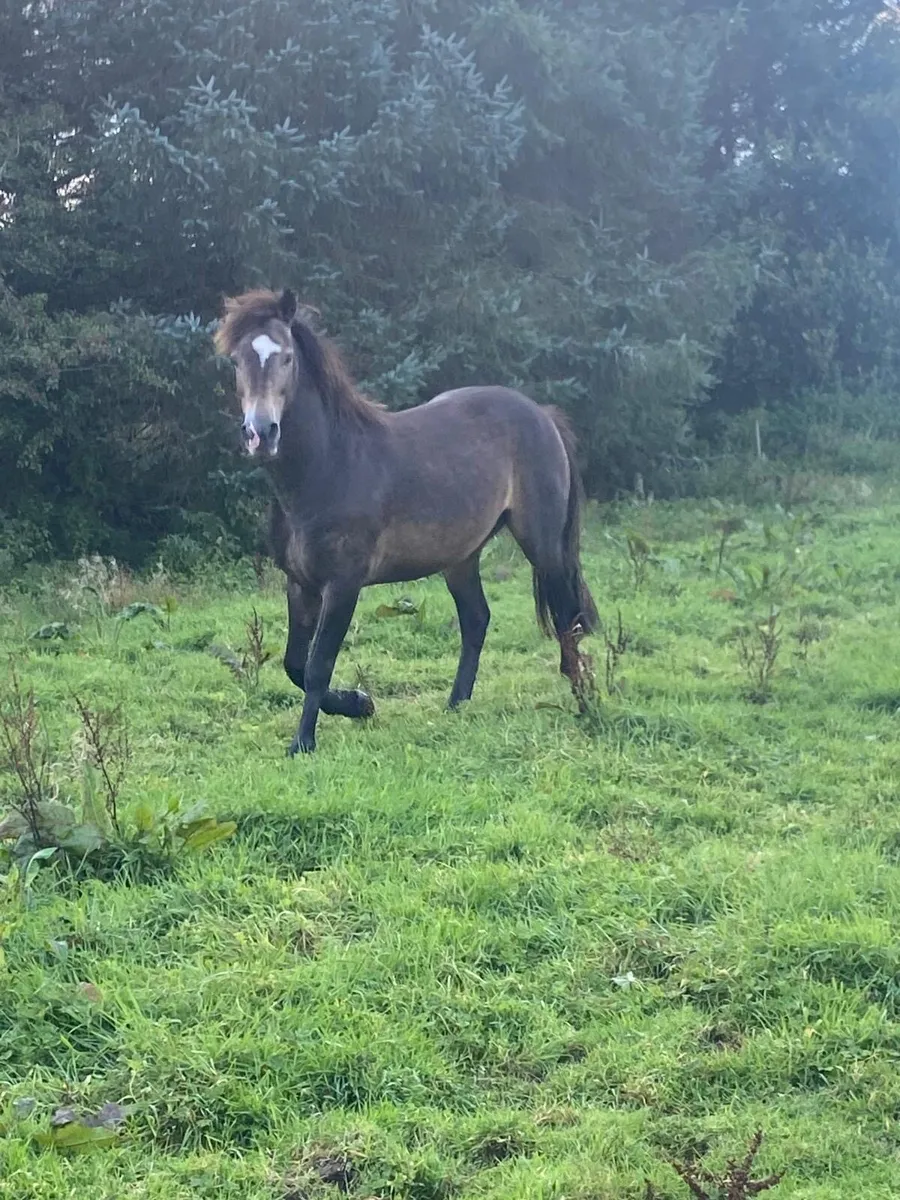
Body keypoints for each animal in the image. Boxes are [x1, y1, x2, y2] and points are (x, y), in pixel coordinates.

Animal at [214, 287, 599, 754]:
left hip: (542, 545)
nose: (261, 434)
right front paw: (359, 703)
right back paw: (456, 705)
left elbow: (319, 663)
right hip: (461, 557)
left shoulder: (342, 586)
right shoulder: (299, 584)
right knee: (477, 619)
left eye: (286, 357)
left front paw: (303, 742)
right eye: (236, 361)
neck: (329, 467)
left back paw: (583, 701)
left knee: (565, 618)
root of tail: (542, 414)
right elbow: (295, 665)